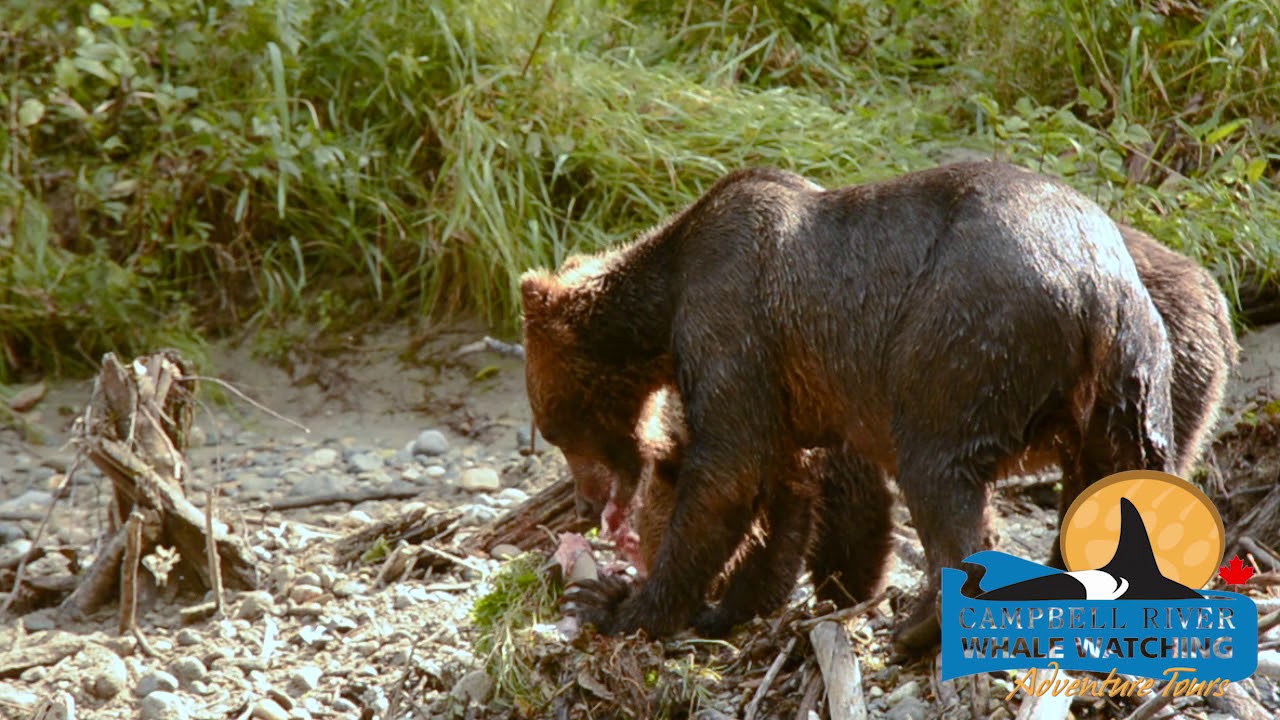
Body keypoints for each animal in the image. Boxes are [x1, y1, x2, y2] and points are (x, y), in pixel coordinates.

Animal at [521, 161, 1177, 652]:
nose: (584, 504)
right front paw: (727, 607)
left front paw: (619, 604)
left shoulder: (732, 320)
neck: (665, 301)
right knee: (1124, 475)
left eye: (556, 428)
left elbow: (728, 472)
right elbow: (783, 493)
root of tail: (1091, 287)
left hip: (967, 331)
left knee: (938, 468)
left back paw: (919, 624)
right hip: (1134, 372)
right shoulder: (784, 383)